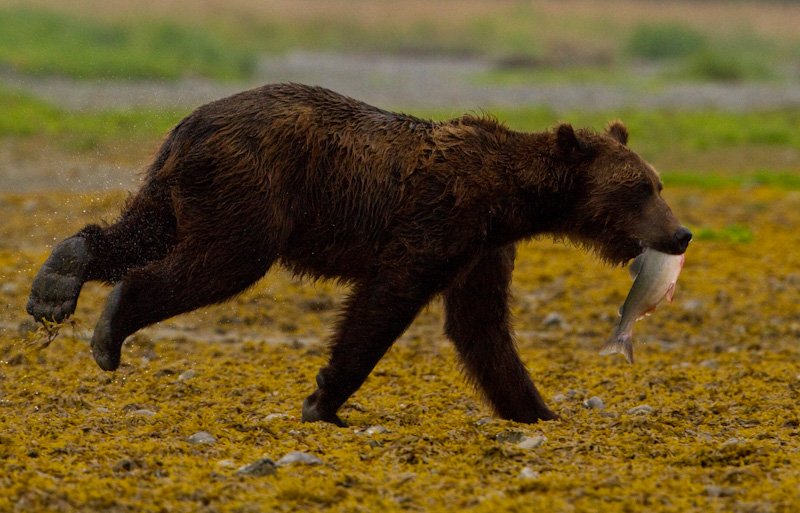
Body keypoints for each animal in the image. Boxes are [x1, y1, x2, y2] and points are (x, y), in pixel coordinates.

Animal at [23, 82, 688, 424]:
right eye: (640, 188)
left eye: (656, 182)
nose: (681, 235)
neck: (511, 199)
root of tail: (191, 121)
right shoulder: (438, 221)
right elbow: (386, 300)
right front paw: (325, 399)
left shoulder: (484, 246)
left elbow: (482, 326)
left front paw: (537, 409)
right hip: (252, 186)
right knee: (220, 261)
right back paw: (112, 326)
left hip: (178, 184)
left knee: (144, 229)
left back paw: (58, 281)